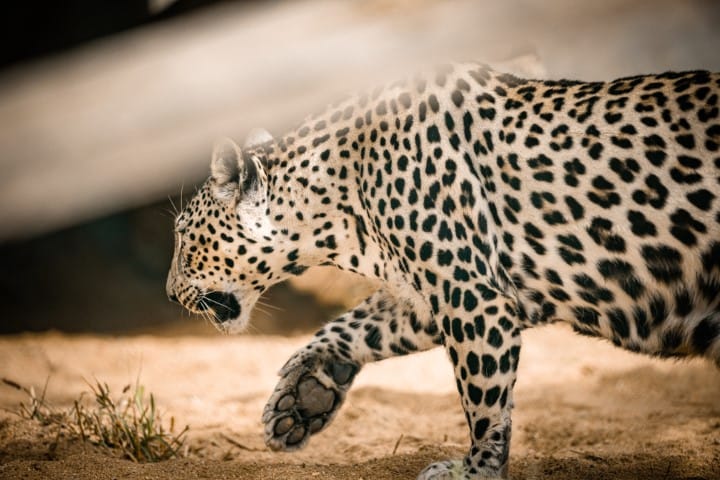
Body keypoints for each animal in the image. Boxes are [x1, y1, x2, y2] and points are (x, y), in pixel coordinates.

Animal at [166, 62, 720, 478]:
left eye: (182, 235)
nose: (170, 294)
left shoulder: (473, 297)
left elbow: (485, 401)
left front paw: (476, 470)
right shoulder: (433, 295)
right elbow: (355, 324)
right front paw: (302, 395)